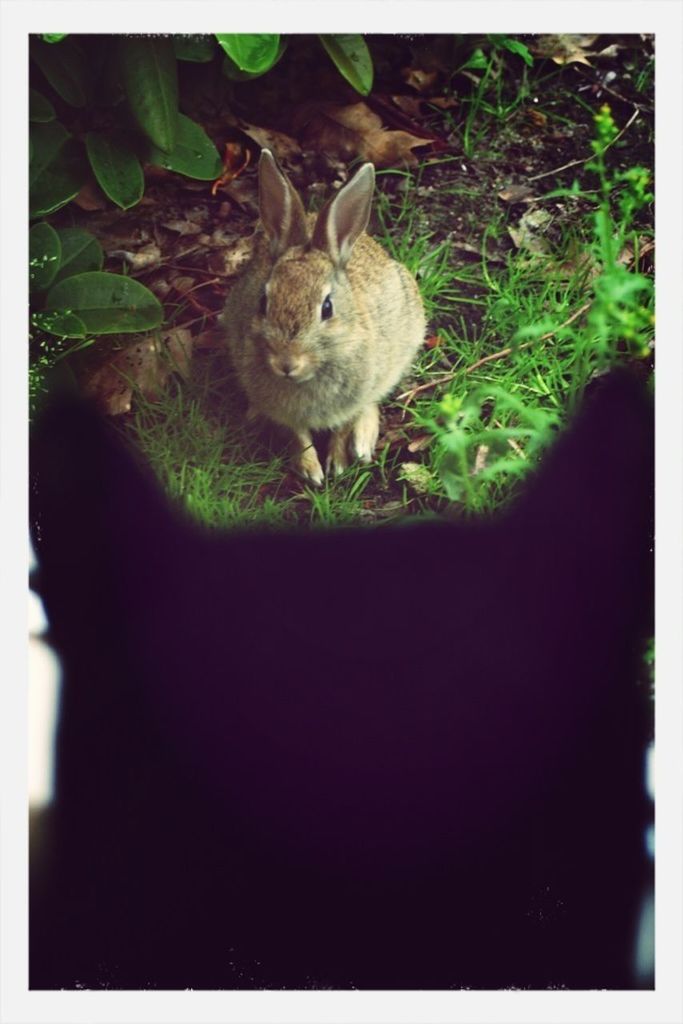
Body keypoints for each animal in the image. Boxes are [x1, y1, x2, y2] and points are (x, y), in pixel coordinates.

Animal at [224, 149, 423, 487]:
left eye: (327, 308)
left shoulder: (357, 393)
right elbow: (298, 435)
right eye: (263, 302)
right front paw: (310, 471)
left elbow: (345, 423)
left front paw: (338, 463)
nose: (286, 363)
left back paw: (363, 443)